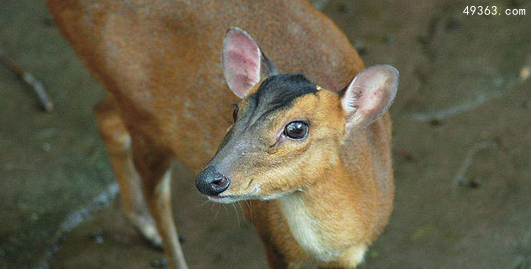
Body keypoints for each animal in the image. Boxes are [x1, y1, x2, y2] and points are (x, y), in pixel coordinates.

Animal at [47, 0, 400, 268]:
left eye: (296, 128)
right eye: (235, 111)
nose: (210, 180)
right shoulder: (273, 243)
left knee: (103, 115)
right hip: (145, 118)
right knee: (155, 192)